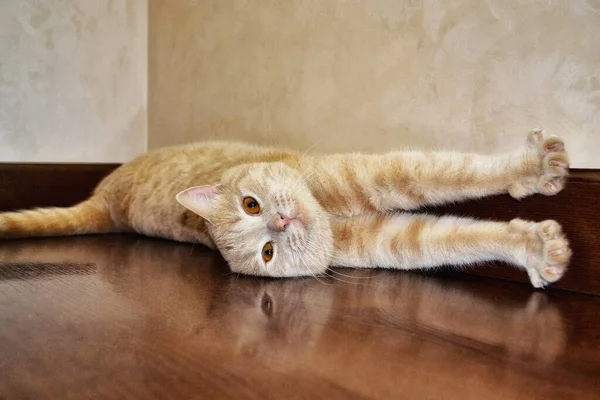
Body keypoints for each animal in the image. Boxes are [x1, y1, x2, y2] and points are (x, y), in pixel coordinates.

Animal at [0, 129, 572, 288]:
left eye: (251, 205)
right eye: (268, 253)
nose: (279, 220)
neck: (331, 218)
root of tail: (107, 204)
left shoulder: (380, 177)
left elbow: (456, 173)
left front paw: (532, 168)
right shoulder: (392, 238)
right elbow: (455, 236)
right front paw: (537, 248)